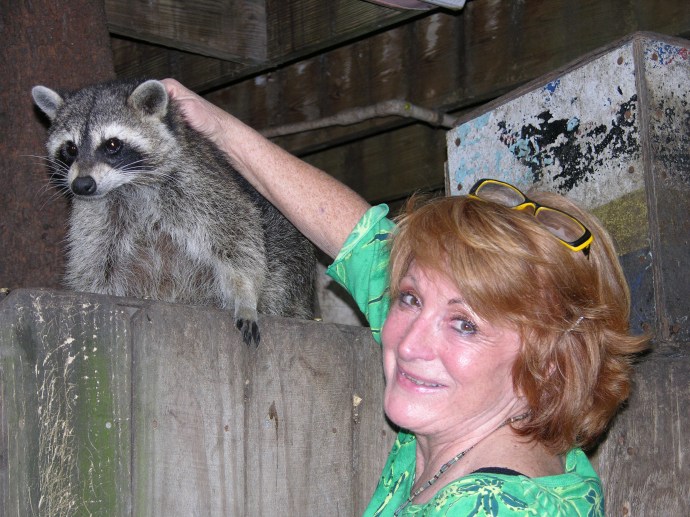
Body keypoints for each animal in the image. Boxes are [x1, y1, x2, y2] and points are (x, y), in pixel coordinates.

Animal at [31, 79, 315, 346]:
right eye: (70, 149)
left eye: (112, 144)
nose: (81, 185)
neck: (128, 185)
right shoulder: (96, 213)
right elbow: (92, 263)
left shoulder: (200, 182)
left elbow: (238, 237)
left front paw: (245, 295)